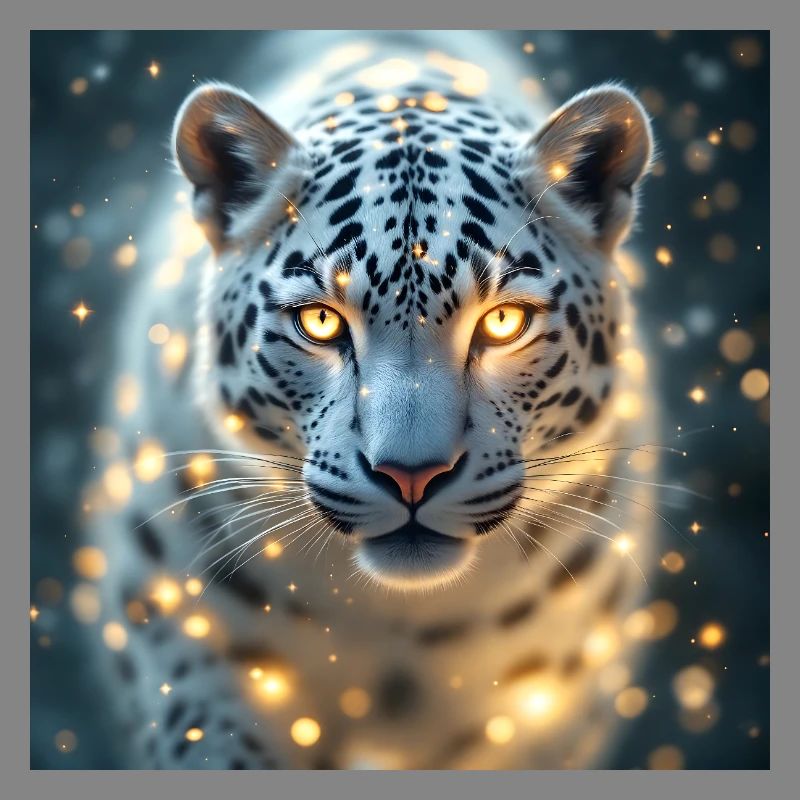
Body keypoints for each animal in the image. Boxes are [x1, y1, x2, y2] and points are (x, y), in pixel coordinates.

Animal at [86, 31, 661, 769]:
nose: (411, 475)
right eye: (320, 322)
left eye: (504, 322)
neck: (402, 631)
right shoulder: (179, 634)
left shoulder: (548, 702)